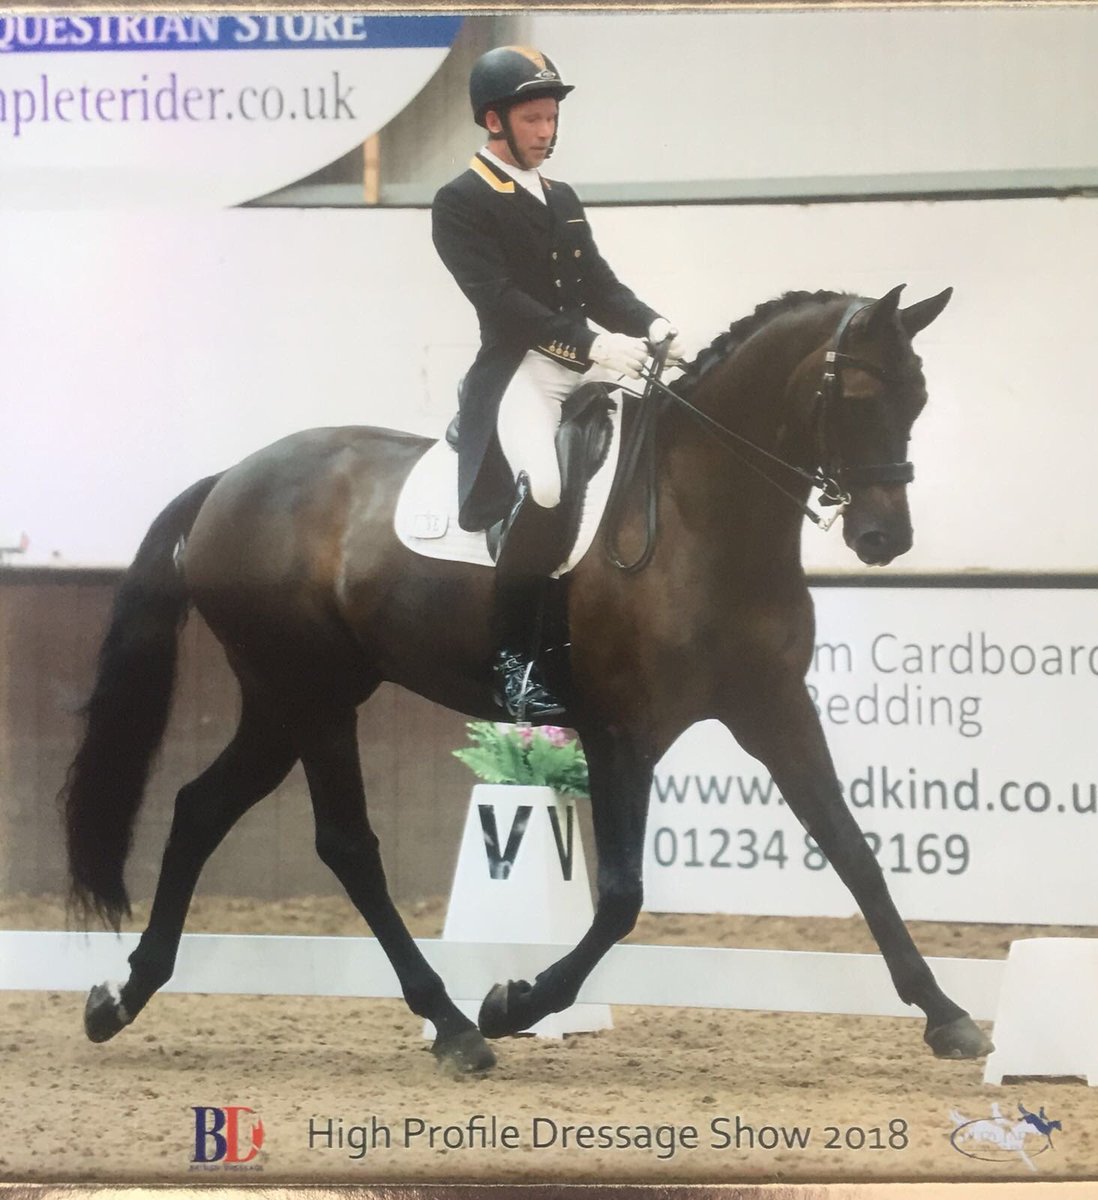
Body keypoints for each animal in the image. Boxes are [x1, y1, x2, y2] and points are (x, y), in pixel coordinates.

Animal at [62, 283, 994, 1075]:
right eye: (860, 396)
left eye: (918, 398)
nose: (884, 539)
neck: (703, 517)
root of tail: (228, 481)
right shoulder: (622, 730)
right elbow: (619, 897)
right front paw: (516, 1002)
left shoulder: (774, 708)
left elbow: (854, 853)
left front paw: (947, 1015)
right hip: (311, 697)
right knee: (347, 846)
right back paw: (455, 1026)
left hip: (286, 699)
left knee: (200, 809)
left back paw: (121, 998)